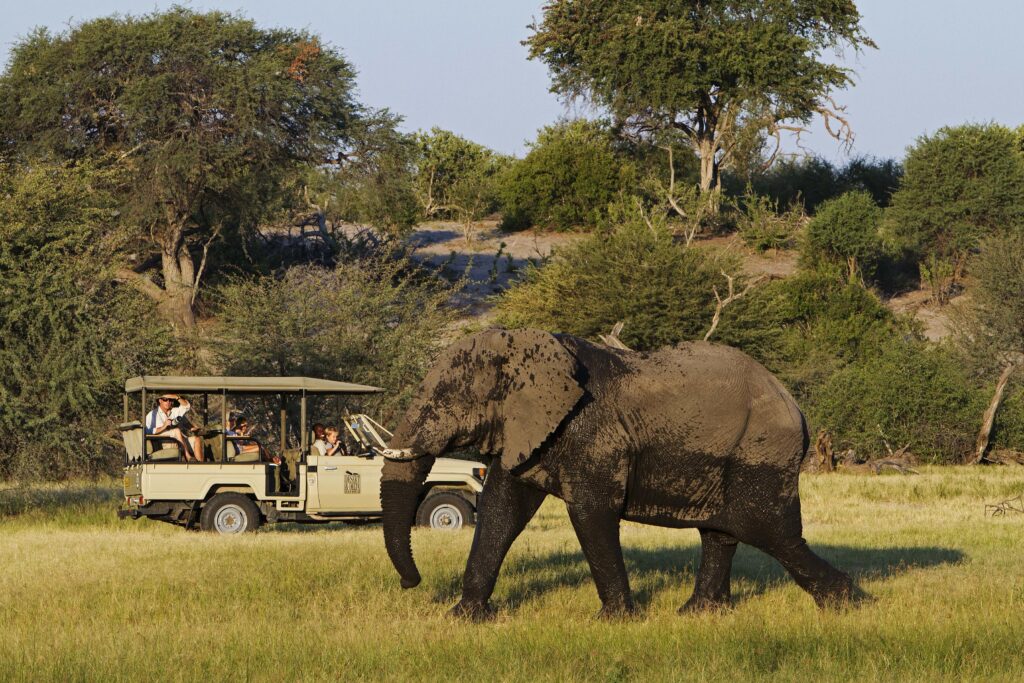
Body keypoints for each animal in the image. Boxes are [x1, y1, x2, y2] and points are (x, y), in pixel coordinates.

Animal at [380, 328, 857, 618]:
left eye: (446, 398)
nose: (411, 583)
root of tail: (795, 405)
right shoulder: (529, 430)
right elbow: (502, 510)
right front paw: (464, 618)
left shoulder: (593, 434)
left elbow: (590, 513)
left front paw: (615, 620)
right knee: (722, 531)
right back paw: (697, 614)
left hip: (760, 450)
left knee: (766, 528)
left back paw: (848, 602)